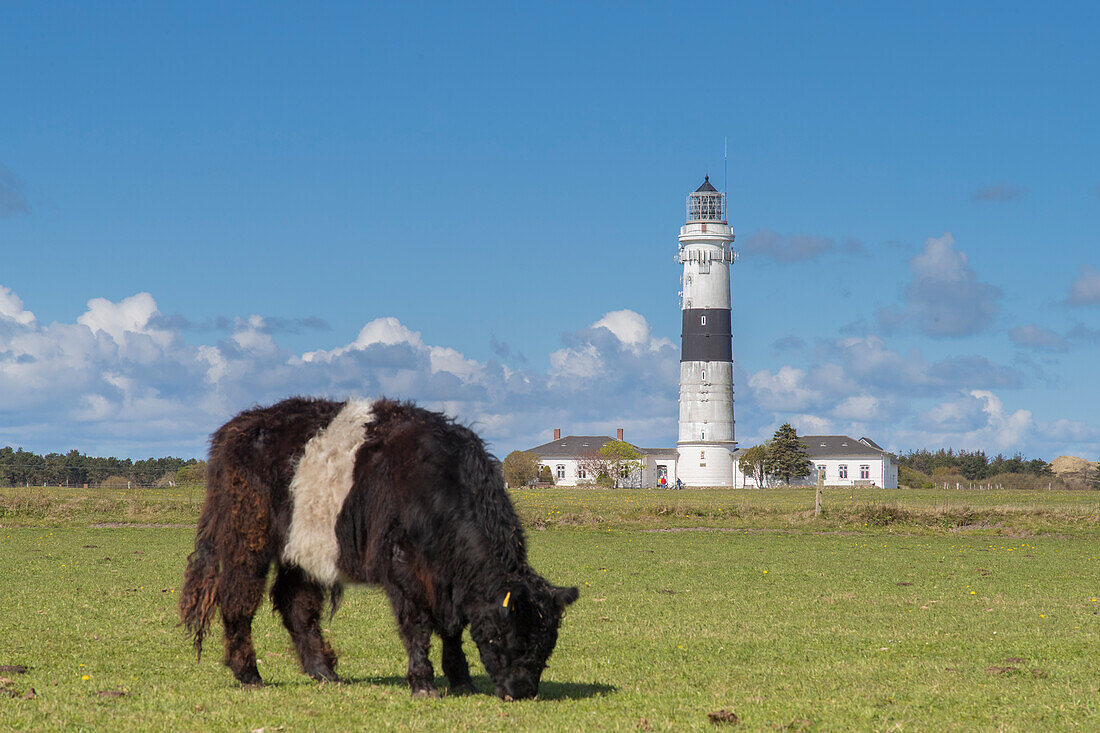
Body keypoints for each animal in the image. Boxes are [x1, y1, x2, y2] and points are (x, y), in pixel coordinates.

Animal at [178, 394, 576, 695]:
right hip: (247, 538)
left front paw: (461, 679)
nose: (522, 691)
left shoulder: (445, 580)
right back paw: (249, 674)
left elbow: (451, 628)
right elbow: (417, 623)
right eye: (509, 633)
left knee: (297, 606)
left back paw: (324, 672)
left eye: (546, 645)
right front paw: (423, 683)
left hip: (303, 547)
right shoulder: (403, 566)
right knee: (238, 598)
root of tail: (238, 426)